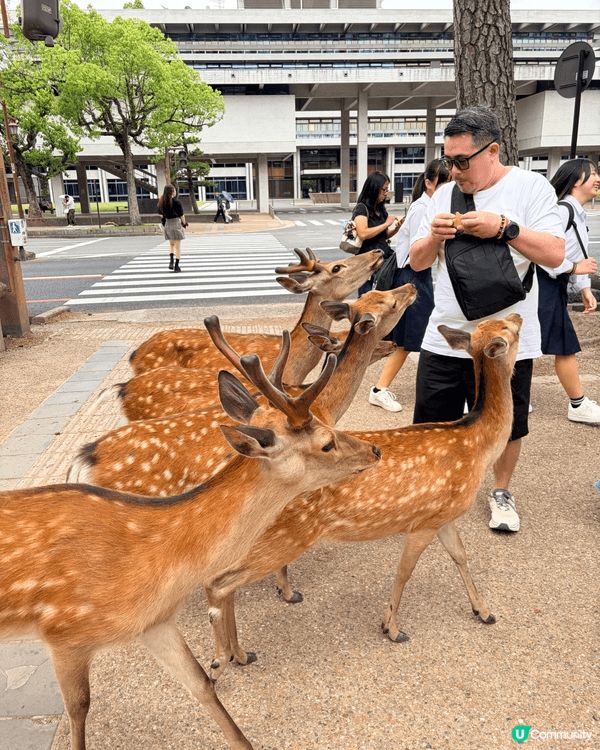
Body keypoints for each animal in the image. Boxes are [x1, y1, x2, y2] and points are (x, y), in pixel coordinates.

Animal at [0, 323, 382, 750]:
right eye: (326, 442)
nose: (374, 449)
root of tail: (81, 458)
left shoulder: (156, 623)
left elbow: (201, 683)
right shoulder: (64, 635)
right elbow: (78, 710)